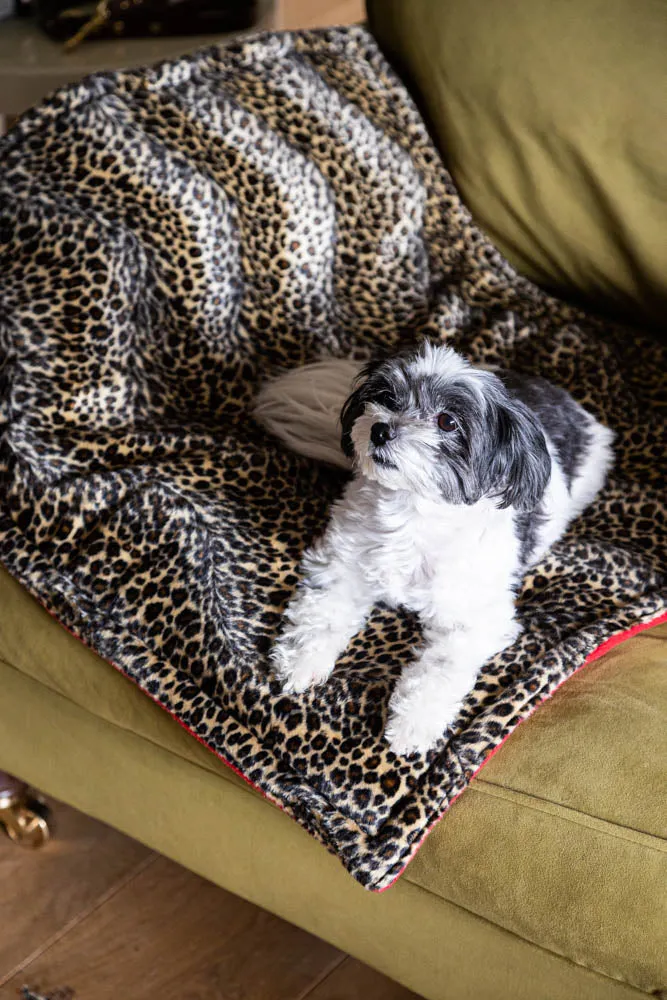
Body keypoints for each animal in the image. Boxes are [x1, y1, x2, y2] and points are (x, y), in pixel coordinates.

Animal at [254, 340, 616, 752]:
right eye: (386, 398)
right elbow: (324, 610)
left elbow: (443, 667)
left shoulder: (474, 617)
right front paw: (301, 660)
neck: (413, 513)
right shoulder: (341, 561)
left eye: (447, 422)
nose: (380, 429)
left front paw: (413, 722)